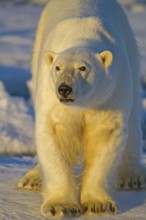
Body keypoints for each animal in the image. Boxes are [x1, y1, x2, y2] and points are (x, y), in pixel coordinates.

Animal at [17, 0, 146, 217]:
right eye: (58, 68)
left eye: (83, 68)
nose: (64, 89)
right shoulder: (52, 98)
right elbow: (55, 135)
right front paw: (60, 206)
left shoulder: (109, 93)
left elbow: (104, 136)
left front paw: (99, 204)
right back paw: (33, 178)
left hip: (129, 46)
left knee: (134, 112)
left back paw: (133, 177)